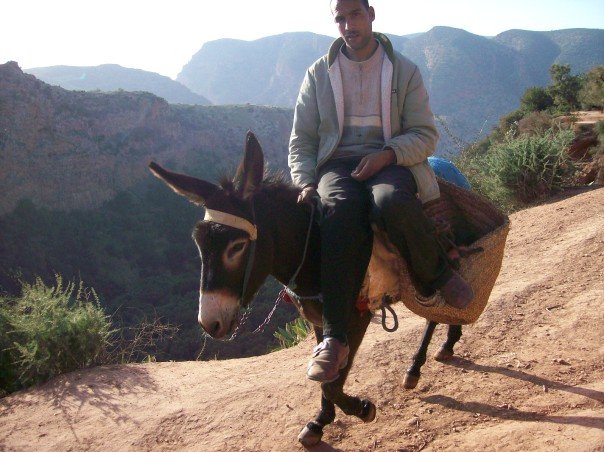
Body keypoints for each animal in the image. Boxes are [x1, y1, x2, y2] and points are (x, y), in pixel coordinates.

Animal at [149, 131, 484, 447]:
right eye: (199, 245)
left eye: (237, 246)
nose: (210, 323)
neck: (315, 248)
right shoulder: (319, 320)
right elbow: (326, 374)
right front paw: (321, 421)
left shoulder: (355, 316)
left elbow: (331, 384)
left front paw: (361, 408)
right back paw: (446, 345)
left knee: (441, 303)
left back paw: (419, 364)